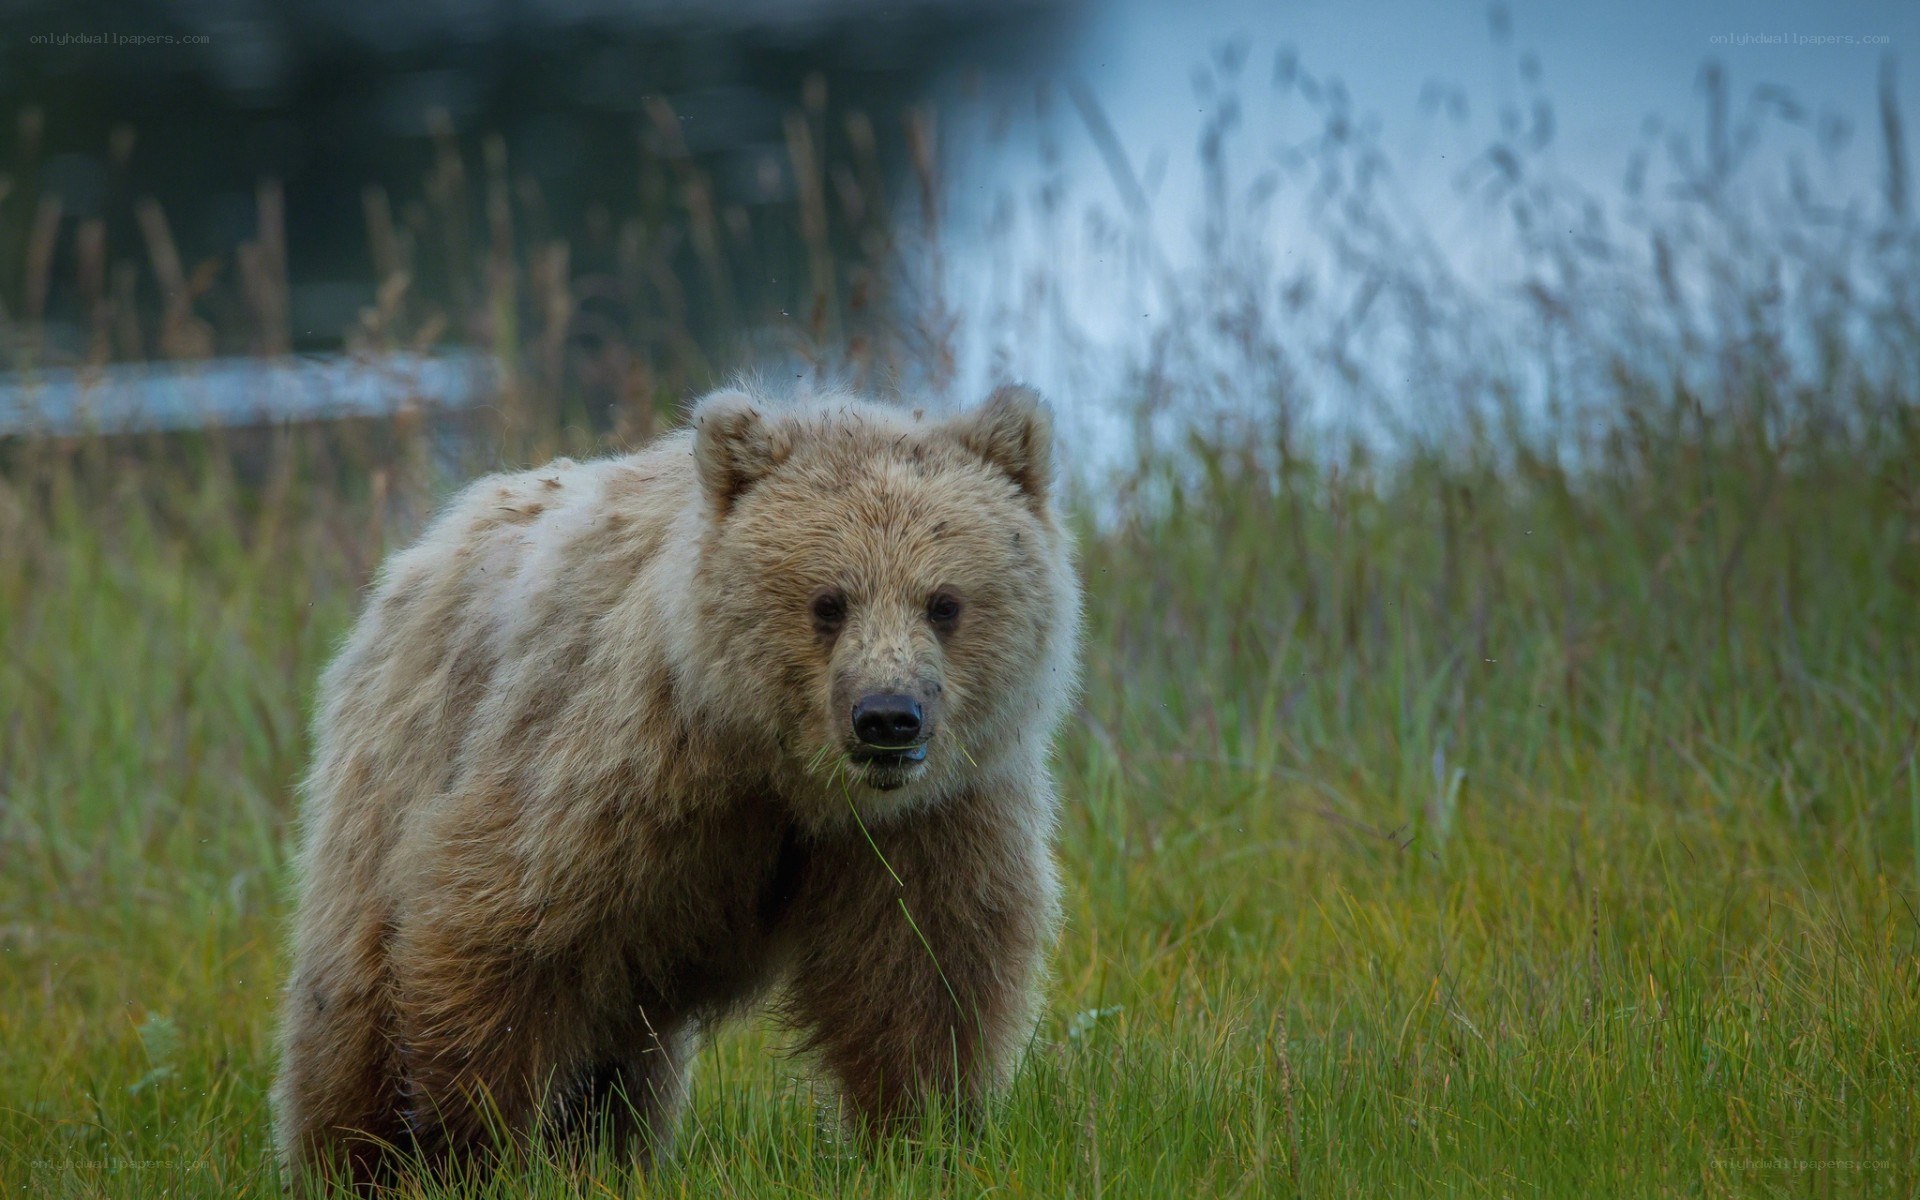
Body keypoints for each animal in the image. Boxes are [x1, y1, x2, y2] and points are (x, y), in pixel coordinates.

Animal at [272, 385, 1082, 1187]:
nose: (888, 717)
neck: (781, 773)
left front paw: (923, 1136)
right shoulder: (616, 770)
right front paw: (467, 1150)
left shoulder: (931, 818)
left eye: (944, 602)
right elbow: (497, 933)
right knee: (350, 1005)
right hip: (396, 770)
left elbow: (922, 973)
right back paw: (351, 1159)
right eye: (828, 601)